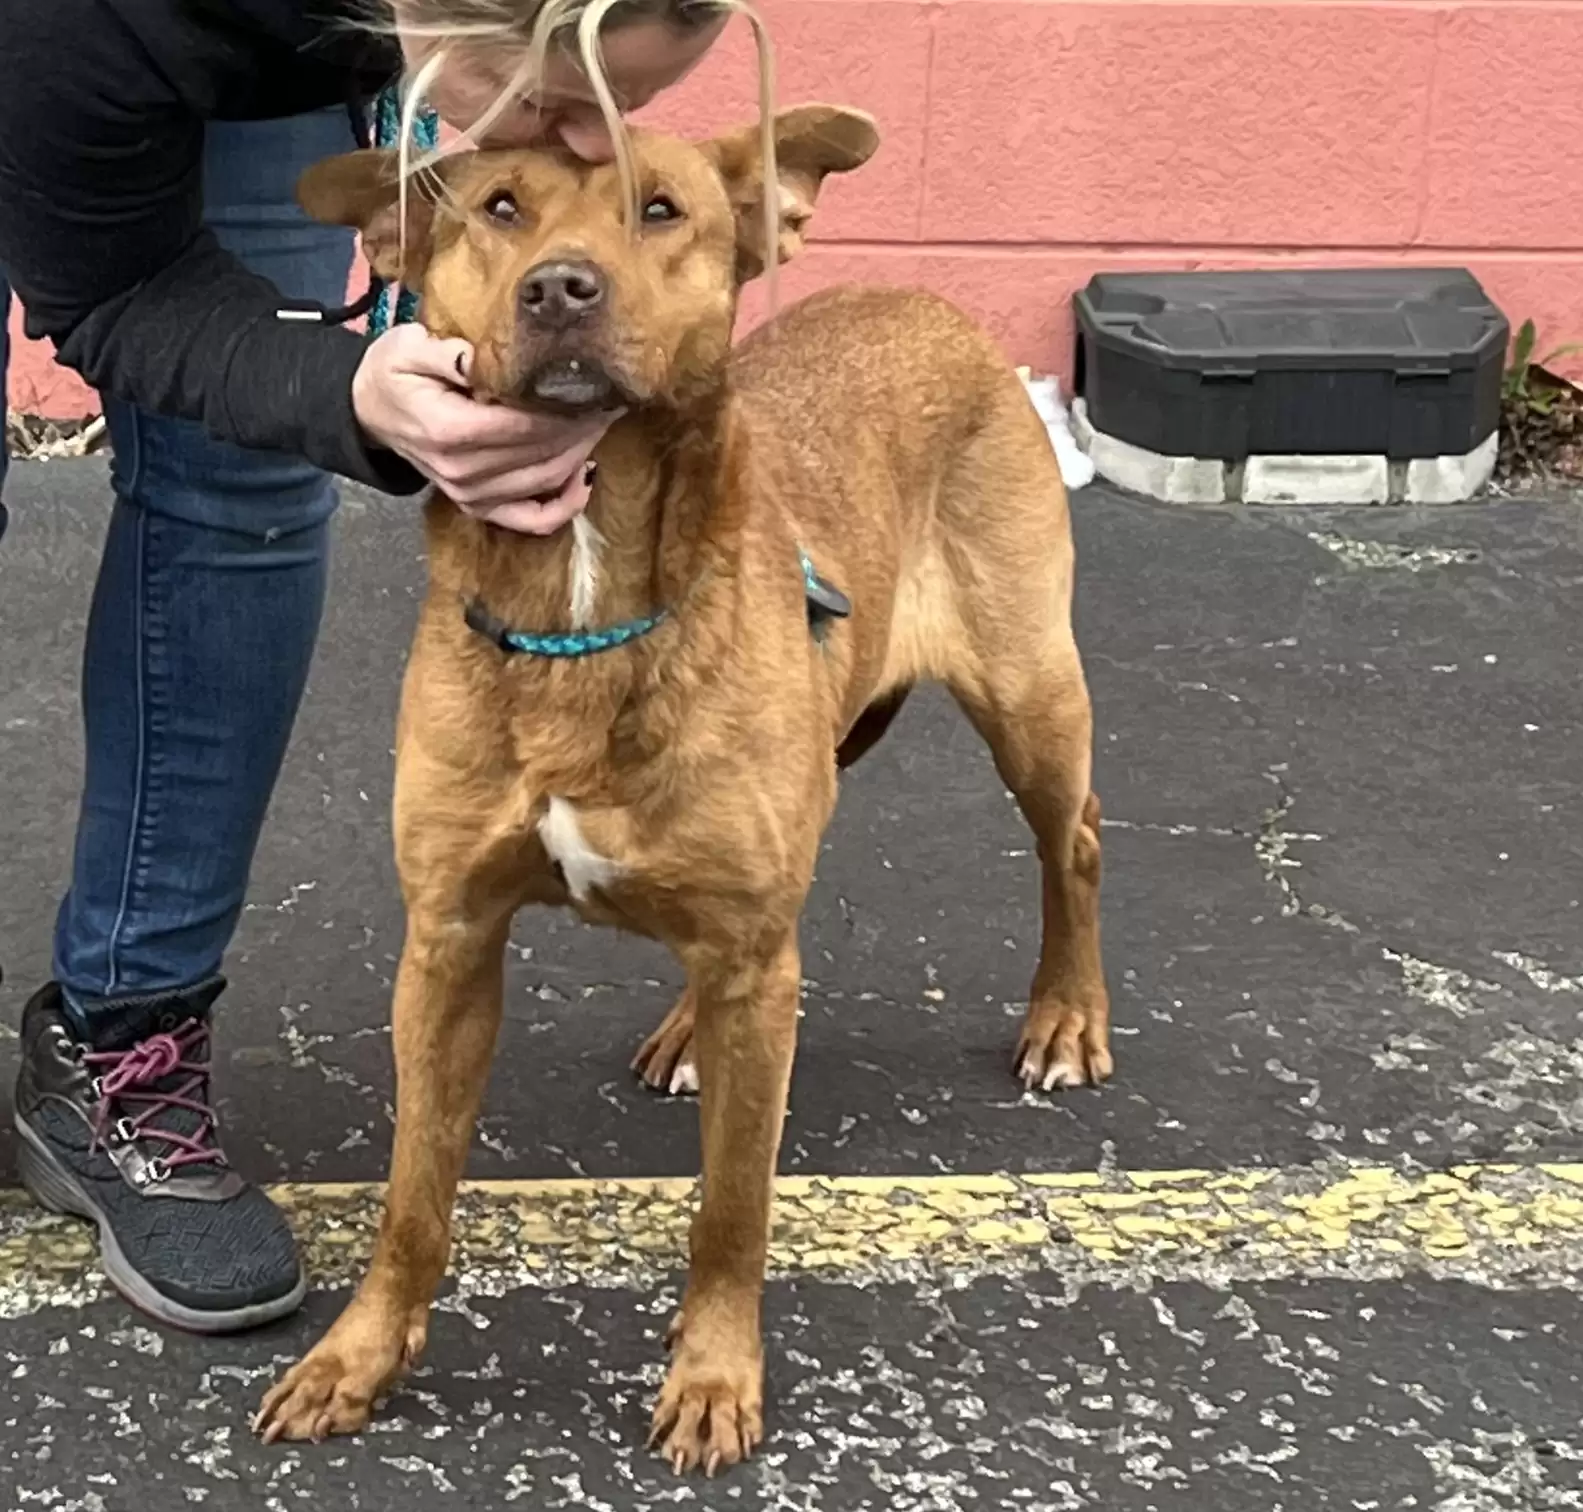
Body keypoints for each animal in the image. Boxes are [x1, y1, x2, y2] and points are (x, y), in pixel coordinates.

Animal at [253, 106, 1108, 1475]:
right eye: (499, 207)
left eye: (660, 210)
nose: (560, 288)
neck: (581, 592)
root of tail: (931, 301)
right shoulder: (447, 943)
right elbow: (411, 1193)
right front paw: (357, 1358)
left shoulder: (754, 964)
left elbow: (731, 1208)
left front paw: (712, 1379)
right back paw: (685, 1033)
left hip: (1028, 699)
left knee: (1070, 841)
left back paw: (1066, 1018)